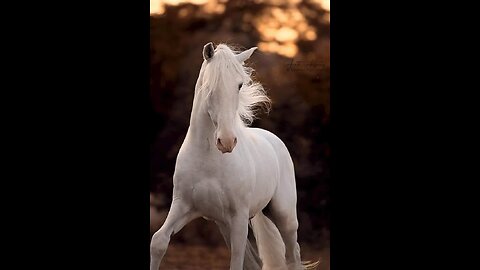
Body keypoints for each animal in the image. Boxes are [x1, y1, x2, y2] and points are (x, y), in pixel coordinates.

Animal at [149, 42, 316, 270]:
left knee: (292, 255)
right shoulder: (183, 206)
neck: (210, 159)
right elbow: (158, 241)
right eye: (209, 86)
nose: (226, 141)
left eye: (239, 85)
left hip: (285, 216)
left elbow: (236, 260)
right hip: (225, 225)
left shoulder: (238, 217)